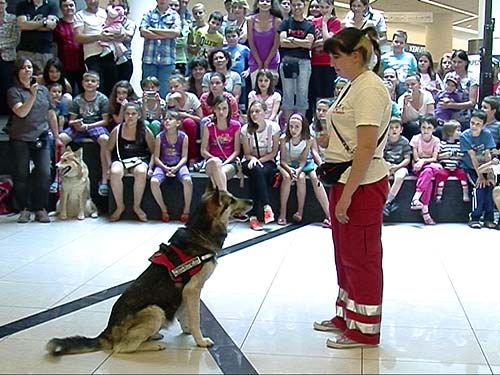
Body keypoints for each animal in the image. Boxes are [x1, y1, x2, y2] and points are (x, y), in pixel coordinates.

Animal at [46, 187, 254, 356]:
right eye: (232, 200)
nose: (252, 201)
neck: (200, 231)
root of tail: (107, 332)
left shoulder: (186, 294)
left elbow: (184, 313)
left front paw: (187, 330)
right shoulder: (193, 290)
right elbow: (195, 318)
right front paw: (200, 341)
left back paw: (152, 337)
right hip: (155, 311)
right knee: (122, 348)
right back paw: (151, 346)